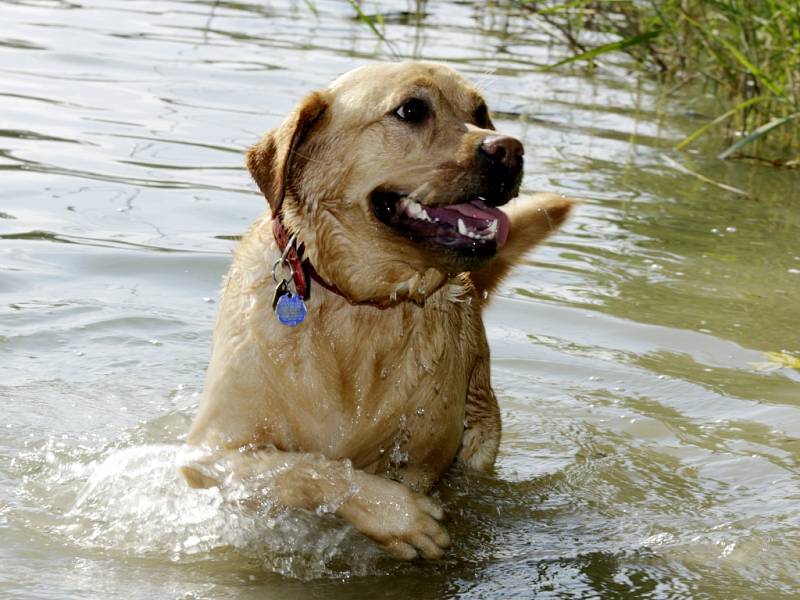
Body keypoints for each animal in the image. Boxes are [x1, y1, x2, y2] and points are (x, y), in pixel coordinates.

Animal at [180, 61, 572, 556]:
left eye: (481, 113)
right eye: (411, 110)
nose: (509, 150)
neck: (361, 304)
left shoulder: (424, 460)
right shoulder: (209, 453)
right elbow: (303, 469)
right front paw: (398, 514)